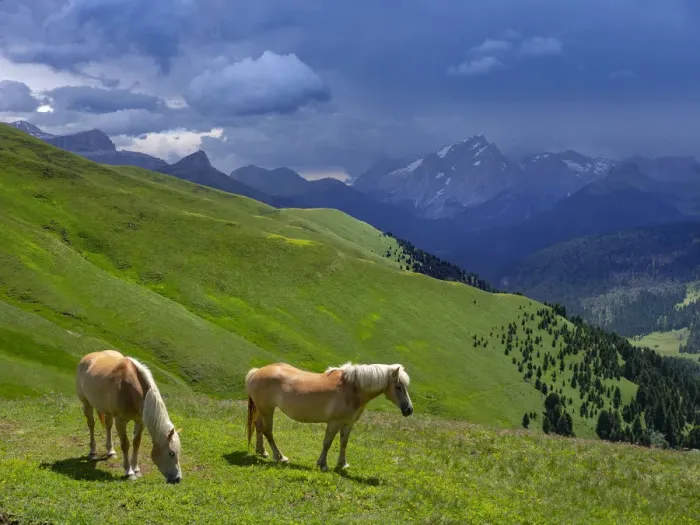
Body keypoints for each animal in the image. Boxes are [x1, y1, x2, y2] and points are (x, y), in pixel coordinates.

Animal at [75, 350, 182, 483]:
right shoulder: (120, 421)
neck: (129, 388)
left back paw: (111, 451)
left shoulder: (140, 421)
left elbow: (136, 443)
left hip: (107, 411)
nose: (177, 479)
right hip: (86, 404)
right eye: (171, 453)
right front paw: (129, 472)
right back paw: (93, 452)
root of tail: (86, 357)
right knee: (91, 424)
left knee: (108, 426)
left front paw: (136, 469)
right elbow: (125, 444)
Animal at [245, 361, 413, 471]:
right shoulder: (334, 422)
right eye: (398, 387)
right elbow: (327, 443)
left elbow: (344, 443)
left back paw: (262, 451)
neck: (352, 389)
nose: (409, 410)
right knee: (268, 431)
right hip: (268, 411)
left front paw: (342, 464)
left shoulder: (348, 423)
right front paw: (323, 464)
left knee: (259, 427)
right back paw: (280, 457)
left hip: (262, 410)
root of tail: (256, 372)